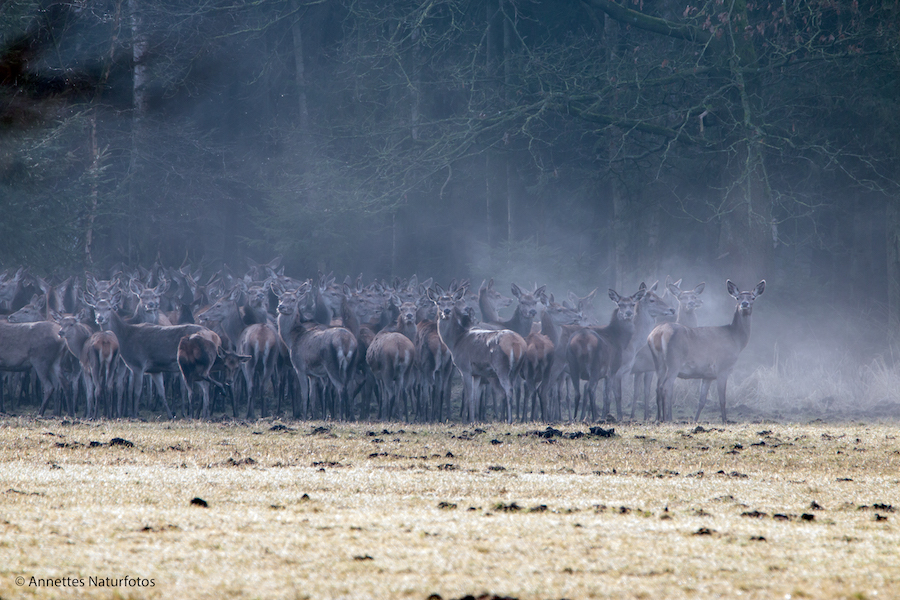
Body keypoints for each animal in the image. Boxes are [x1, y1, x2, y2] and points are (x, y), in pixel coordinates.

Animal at [428, 284, 528, 422]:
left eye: (452, 303)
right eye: (439, 303)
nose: (446, 311)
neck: (456, 341)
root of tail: (517, 344)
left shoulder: (465, 368)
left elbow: (469, 396)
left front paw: (469, 421)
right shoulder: (477, 373)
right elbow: (475, 397)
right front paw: (474, 419)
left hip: (501, 366)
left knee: (508, 390)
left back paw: (509, 420)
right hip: (516, 369)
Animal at [648, 280, 768, 424]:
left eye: (753, 297)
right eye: (738, 298)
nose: (745, 304)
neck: (736, 340)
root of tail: (657, 334)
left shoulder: (707, 375)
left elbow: (702, 401)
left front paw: (695, 421)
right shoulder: (723, 368)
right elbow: (722, 399)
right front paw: (725, 421)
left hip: (659, 364)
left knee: (658, 387)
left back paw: (659, 418)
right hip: (674, 362)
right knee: (666, 387)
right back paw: (667, 419)